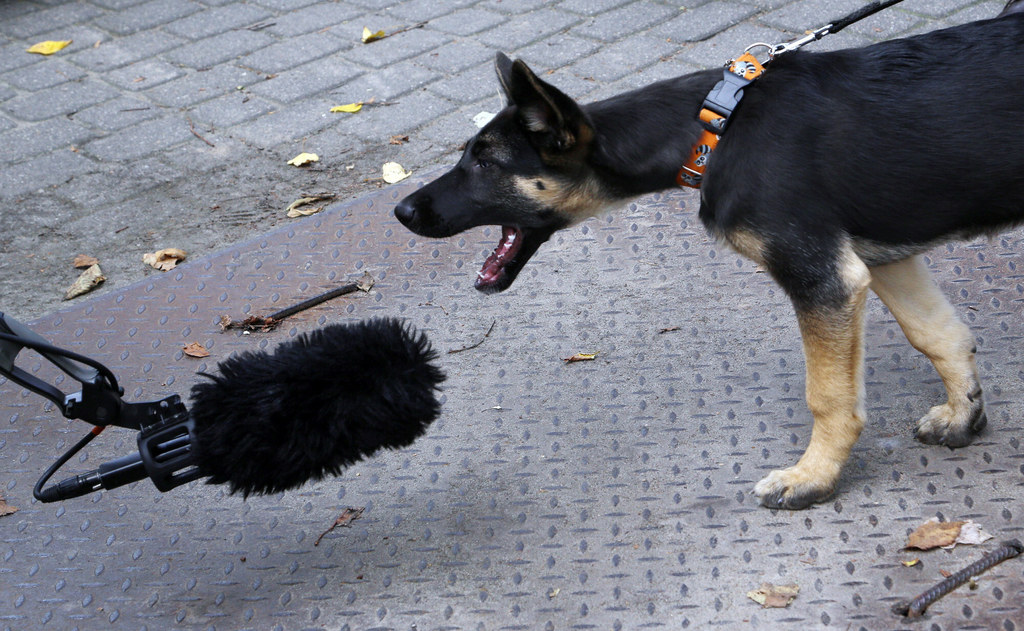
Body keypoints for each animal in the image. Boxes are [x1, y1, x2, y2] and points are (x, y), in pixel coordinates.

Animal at [393, 7, 1024, 510]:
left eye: (486, 163)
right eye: (469, 155)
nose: (401, 211)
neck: (714, 128)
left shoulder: (822, 277)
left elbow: (829, 396)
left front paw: (813, 477)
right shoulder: (879, 255)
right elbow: (937, 334)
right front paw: (964, 415)